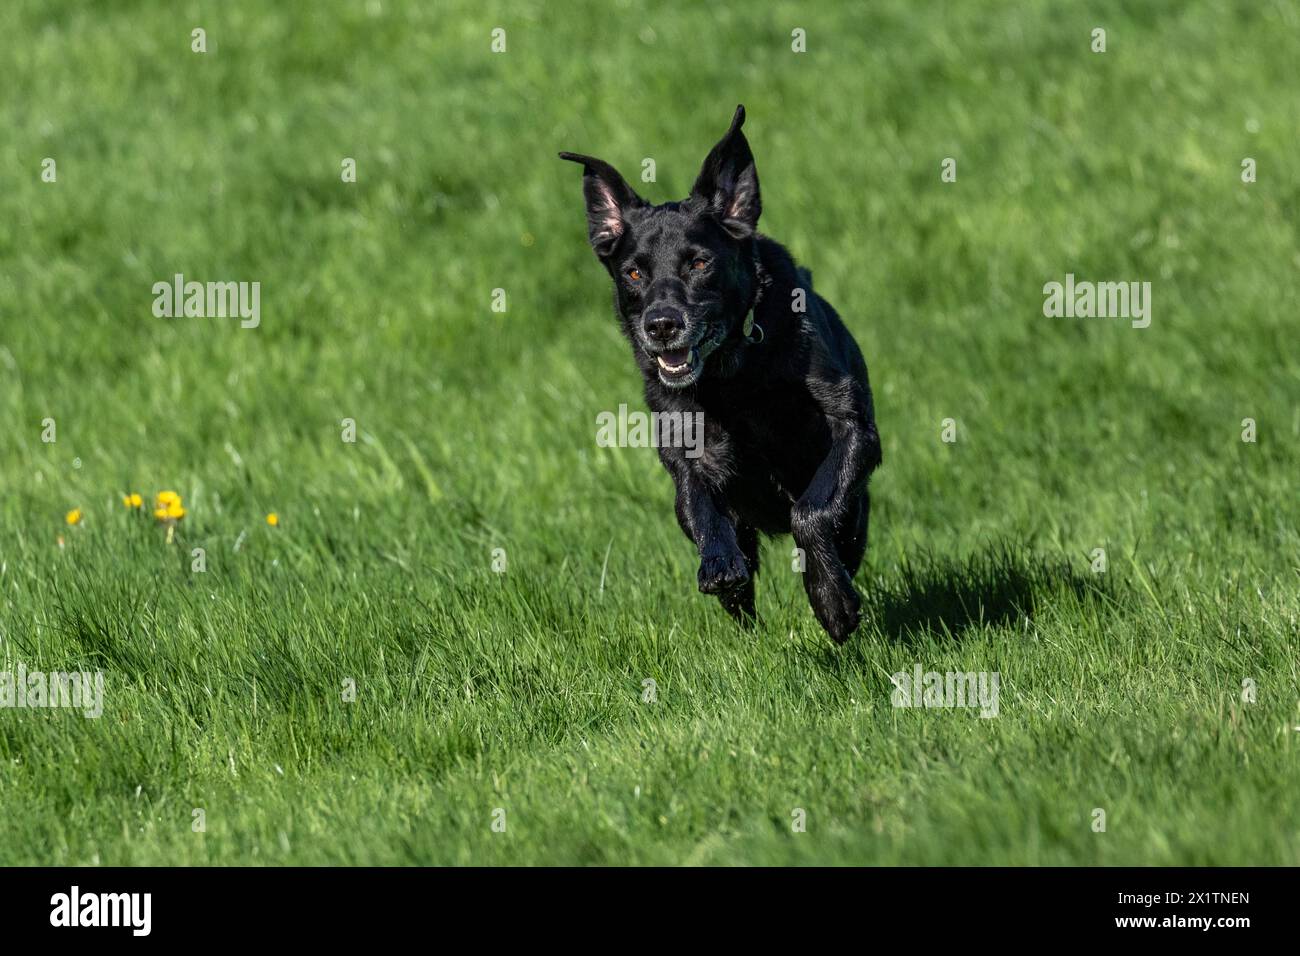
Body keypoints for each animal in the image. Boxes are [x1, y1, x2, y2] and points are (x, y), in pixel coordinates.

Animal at [561, 106, 883, 642]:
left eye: (698, 263)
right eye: (633, 273)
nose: (661, 325)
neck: (733, 378)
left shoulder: (851, 428)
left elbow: (812, 511)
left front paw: (833, 602)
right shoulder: (684, 447)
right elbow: (700, 505)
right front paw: (720, 566)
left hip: (857, 513)